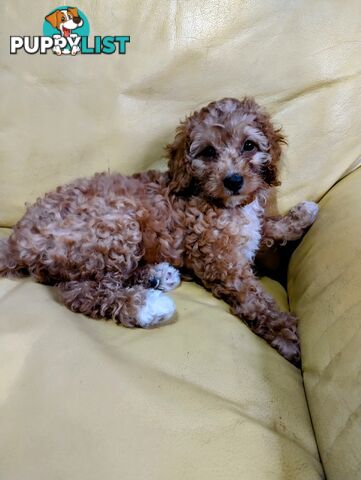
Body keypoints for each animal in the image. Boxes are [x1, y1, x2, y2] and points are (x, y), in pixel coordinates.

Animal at [0, 98, 316, 368]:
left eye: (249, 145)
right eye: (209, 152)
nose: (234, 181)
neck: (217, 201)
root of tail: (16, 241)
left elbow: (267, 227)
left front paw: (302, 215)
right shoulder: (220, 261)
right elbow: (255, 299)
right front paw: (287, 334)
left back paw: (158, 276)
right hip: (115, 226)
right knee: (81, 290)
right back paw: (147, 305)